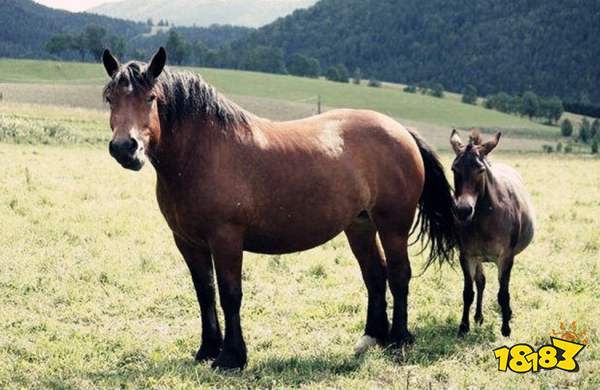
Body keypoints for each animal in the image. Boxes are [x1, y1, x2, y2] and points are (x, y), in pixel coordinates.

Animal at [102, 48, 454, 368]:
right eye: (109, 98)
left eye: (151, 98)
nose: (125, 148)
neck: (202, 154)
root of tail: (401, 131)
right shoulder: (188, 242)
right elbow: (205, 292)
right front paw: (207, 350)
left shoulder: (226, 238)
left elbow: (230, 294)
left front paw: (231, 357)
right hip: (360, 225)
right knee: (375, 273)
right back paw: (371, 338)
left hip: (392, 225)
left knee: (399, 273)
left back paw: (399, 340)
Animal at [450, 131, 536, 338]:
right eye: (454, 169)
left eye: (481, 170)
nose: (463, 211)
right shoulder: (467, 255)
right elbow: (468, 292)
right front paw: (463, 326)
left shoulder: (505, 257)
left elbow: (503, 294)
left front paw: (506, 328)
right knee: (481, 282)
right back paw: (478, 317)